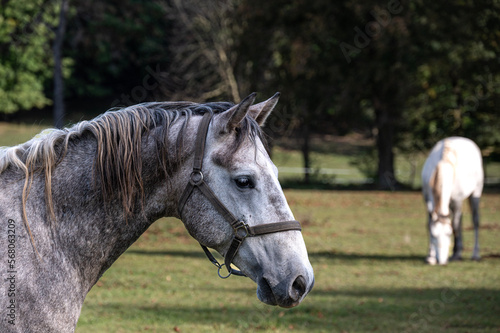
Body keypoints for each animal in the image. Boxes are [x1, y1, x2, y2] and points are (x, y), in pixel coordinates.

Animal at [422, 136, 484, 264]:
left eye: (448, 234)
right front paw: (430, 257)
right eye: (434, 235)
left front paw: (457, 255)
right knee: (459, 220)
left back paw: (474, 254)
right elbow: (429, 224)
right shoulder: (427, 199)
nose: (441, 261)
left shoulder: (457, 200)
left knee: (474, 220)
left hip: (475, 192)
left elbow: (454, 225)